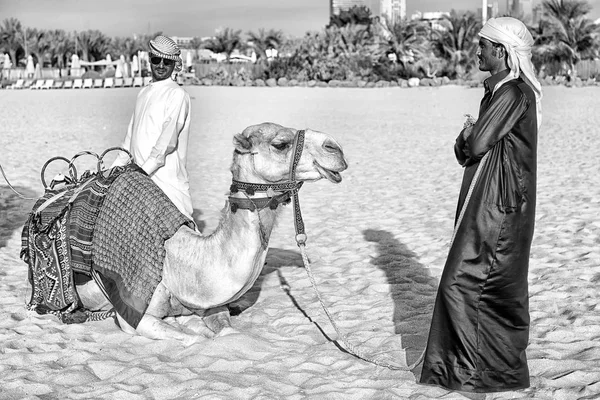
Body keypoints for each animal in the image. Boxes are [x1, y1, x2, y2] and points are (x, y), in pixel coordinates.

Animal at [66, 122, 346, 344]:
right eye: (281, 144)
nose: (336, 149)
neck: (177, 262)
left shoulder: (210, 305)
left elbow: (228, 333)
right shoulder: (133, 314)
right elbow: (194, 339)